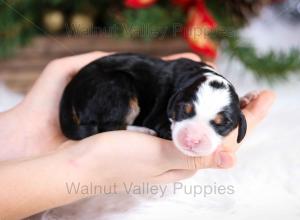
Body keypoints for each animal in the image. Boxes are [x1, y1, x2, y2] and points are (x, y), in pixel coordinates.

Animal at [59, 53, 248, 156]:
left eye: (222, 124)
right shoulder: (158, 119)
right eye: (183, 110)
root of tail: (70, 91)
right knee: (109, 127)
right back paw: (143, 131)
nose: (192, 140)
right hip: (117, 86)